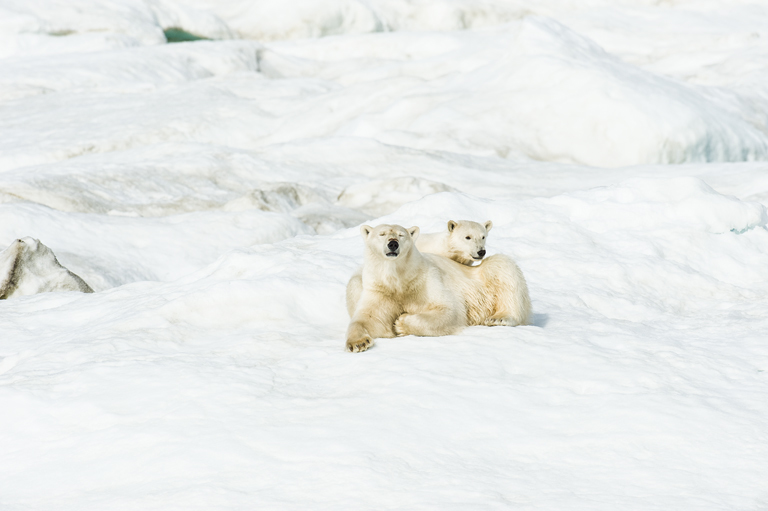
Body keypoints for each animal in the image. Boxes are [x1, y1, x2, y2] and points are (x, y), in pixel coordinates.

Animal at [346, 224, 532, 352]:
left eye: (401, 235)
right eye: (382, 234)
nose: (393, 244)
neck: (399, 281)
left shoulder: (426, 281)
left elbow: (449, 310)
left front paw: (401, 323)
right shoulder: (380, 290)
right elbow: (369, 319)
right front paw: (359, 343)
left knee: (503, 268)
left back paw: (499, 318)